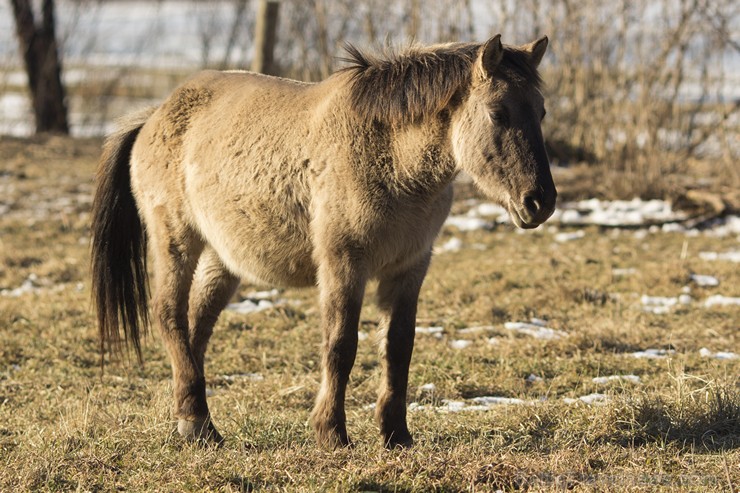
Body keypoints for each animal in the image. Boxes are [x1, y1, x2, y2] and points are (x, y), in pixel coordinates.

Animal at [91, 34, 556, 448]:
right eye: (498, 113)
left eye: (541, 111)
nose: (541, 202)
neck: (390, 156)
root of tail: (156, 113)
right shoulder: (343, 262)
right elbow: (340, 346)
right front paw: (331, 433)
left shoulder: (410, 268)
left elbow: (398, 347)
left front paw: (396, 435)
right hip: (176, 241)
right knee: (169, 315)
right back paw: (195, 424)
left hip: (223, 260)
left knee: (196, 327)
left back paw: (195, 418)